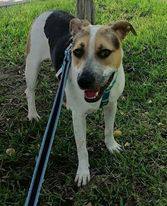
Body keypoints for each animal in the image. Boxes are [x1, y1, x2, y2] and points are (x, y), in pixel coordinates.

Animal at [25, 10, 137, 187]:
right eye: (77, 52)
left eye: (105, 52)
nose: (83, 81)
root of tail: (50, 11)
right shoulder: (78, 117)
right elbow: (82, 146)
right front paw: (83, 172)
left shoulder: (111, 104)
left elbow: (109, 129)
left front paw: (111, 146)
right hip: (31, 65)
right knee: (29, 91)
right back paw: (32, 114)